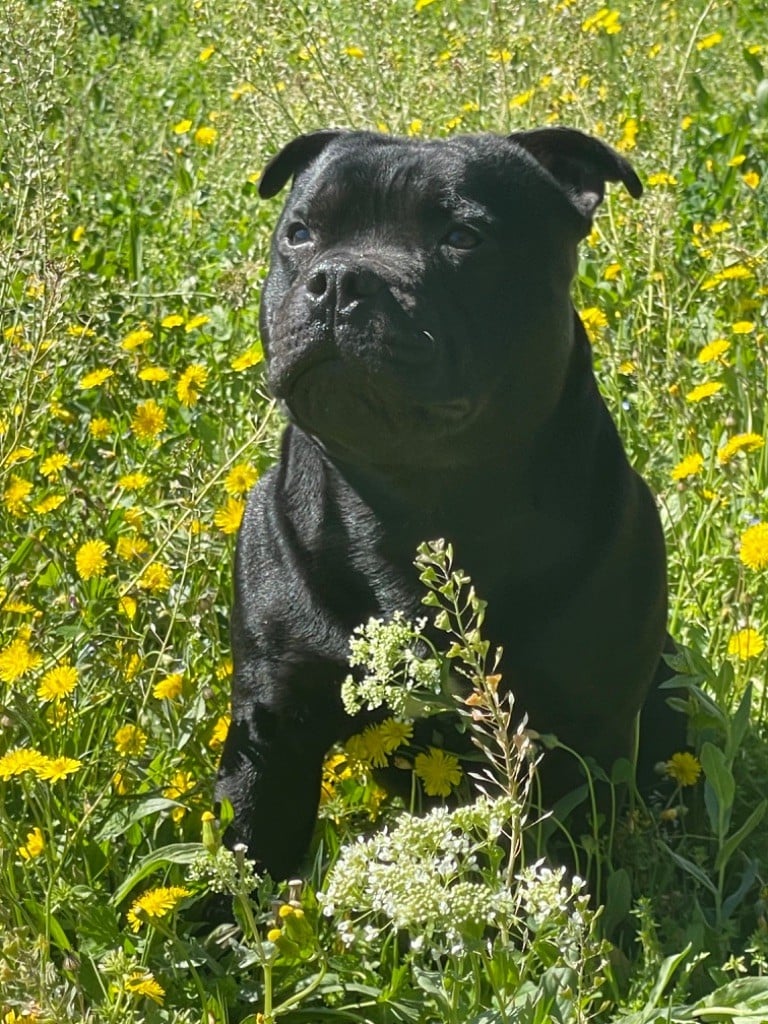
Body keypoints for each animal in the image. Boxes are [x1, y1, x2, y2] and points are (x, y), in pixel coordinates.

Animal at [215, 125, 679, 880]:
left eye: (463, 237)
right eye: (301, 233)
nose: (340, 280)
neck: (414, 499)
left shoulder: (586, 727)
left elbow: (560, 857)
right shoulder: (271, 720)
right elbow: (246, 846)